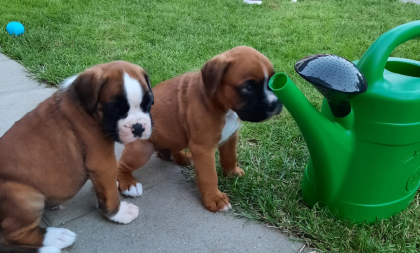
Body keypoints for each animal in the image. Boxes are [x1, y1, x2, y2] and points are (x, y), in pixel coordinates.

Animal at [0, 61, 154, 253]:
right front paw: (118, 213)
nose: (138, 127)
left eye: (149, 103)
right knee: (11, 235)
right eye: (114, 109)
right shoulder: (102, 162)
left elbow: (103, 188)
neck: (86, 107)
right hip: (21, 196)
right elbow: (110, 193)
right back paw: (55, 239)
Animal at [116, 46, 284, 212]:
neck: (221, 106)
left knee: (168, 152)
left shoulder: (230, 137)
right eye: (248, 88)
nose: (274, 104)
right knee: (121, 166)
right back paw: (128, 184)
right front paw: (215, 199)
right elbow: (209, 176)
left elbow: (230, 157)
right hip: (142, 149)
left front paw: (232, 173)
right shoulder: (204, 148)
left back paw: (184, 158)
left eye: (272, 82)